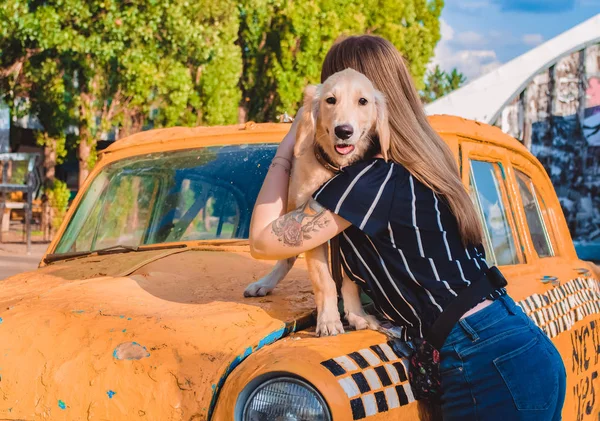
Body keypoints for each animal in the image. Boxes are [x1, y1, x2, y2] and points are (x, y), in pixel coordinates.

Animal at [244, 69, 390, 338]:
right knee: (286, 258)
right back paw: (264, 283)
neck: (335, 170)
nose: (344, 131)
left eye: (363, 101)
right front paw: (329, 320)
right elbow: (325, 280)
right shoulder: (309, 224)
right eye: (330, 100)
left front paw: (357, 315)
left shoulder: (348, 232)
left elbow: (348, 282)